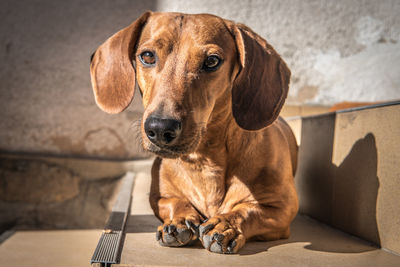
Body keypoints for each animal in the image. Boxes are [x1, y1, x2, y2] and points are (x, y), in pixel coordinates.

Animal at [90, 11, 296, 254]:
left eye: (212, 61)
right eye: (147, 56)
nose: (160, 128)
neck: (205, 161)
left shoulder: (282, 209)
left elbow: (248, 210)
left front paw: (226, 224)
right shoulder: (160, 197)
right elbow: (173, 202)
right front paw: (179, 220)